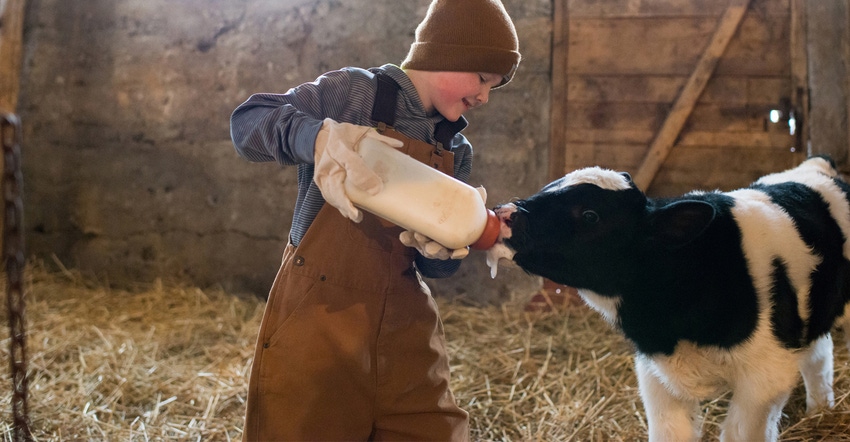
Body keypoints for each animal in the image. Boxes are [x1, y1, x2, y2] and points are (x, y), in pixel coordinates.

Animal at [486, 157, 848, 440]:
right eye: (550, 186)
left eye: (590, 215)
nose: (505, 214)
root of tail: (817, 165)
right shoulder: (656, 377)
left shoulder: (766, 378)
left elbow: (740, 433)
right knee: (819, 353)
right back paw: (820, 410)